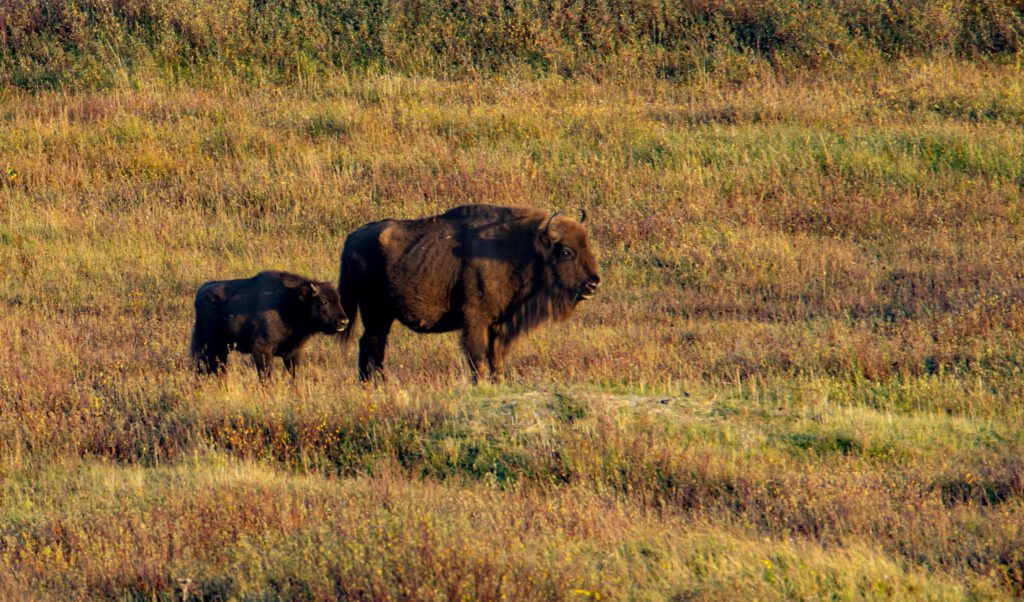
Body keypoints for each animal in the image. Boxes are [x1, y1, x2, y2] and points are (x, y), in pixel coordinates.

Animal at [190, 270, 350, 378]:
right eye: (323, 300)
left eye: (339, 299)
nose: (343, 321)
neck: (290, 302)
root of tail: (201, 292)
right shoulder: (262, 349)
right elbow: (266, 375)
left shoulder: (293, 352)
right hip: (215, 346)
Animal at [337, 202, 598, 380]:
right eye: (565, 251)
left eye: (587, 245)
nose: (593, 283)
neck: (521, 249)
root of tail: (352, 238)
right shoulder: (475, 321)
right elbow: (478, 359)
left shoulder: (498, 324)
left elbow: (496, 359)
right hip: (375, 313)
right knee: (371, 346)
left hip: (382, 316)